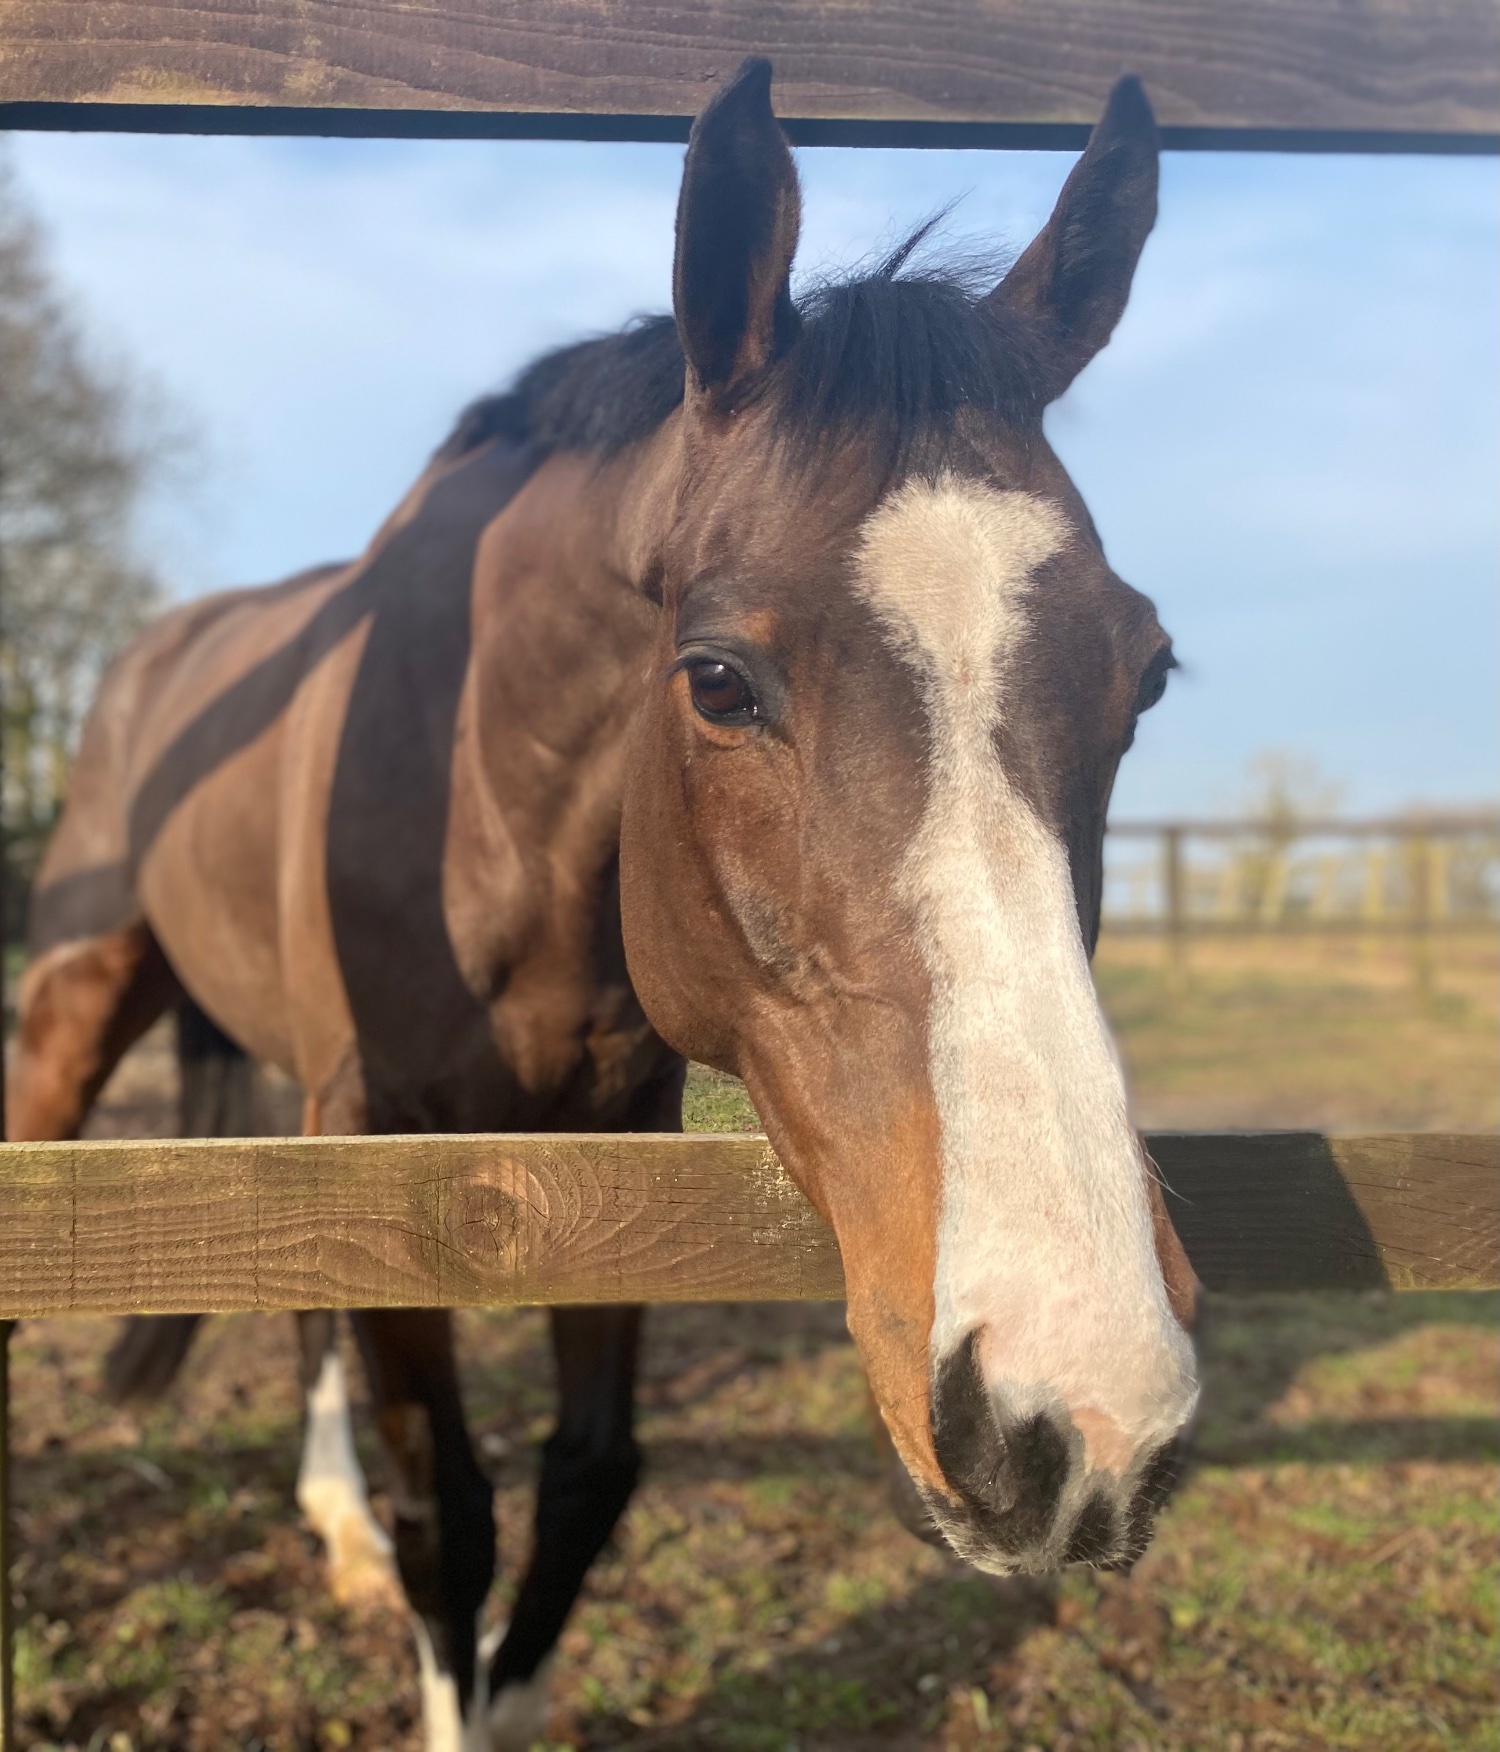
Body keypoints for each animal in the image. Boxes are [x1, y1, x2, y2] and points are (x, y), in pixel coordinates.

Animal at [8, 58, 1200, 1750]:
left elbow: (585, 1480)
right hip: (81, 1016)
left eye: (1146, 673)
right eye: (717, 679)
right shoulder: (386, 1144)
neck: (473, 784)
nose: (1083, 1412)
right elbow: (454, 1510)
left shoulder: (607, 1146)